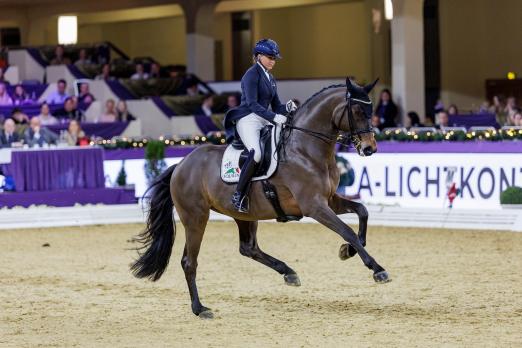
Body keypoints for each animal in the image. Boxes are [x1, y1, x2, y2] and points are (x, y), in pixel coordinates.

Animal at [132, 78, 388, 318]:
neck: (305, 149)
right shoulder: (314, 206)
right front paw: (377, 268)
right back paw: (200, 308)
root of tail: (180, 165)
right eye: (357, 111)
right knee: (189, 261)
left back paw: (288, 273)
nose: (370, 148)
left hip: (244, 215)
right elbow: (347, 231)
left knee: (248, 248)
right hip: (196, 218)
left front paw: (347, 251)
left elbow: (362, 212)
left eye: (372, 110)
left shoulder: (329, 199)